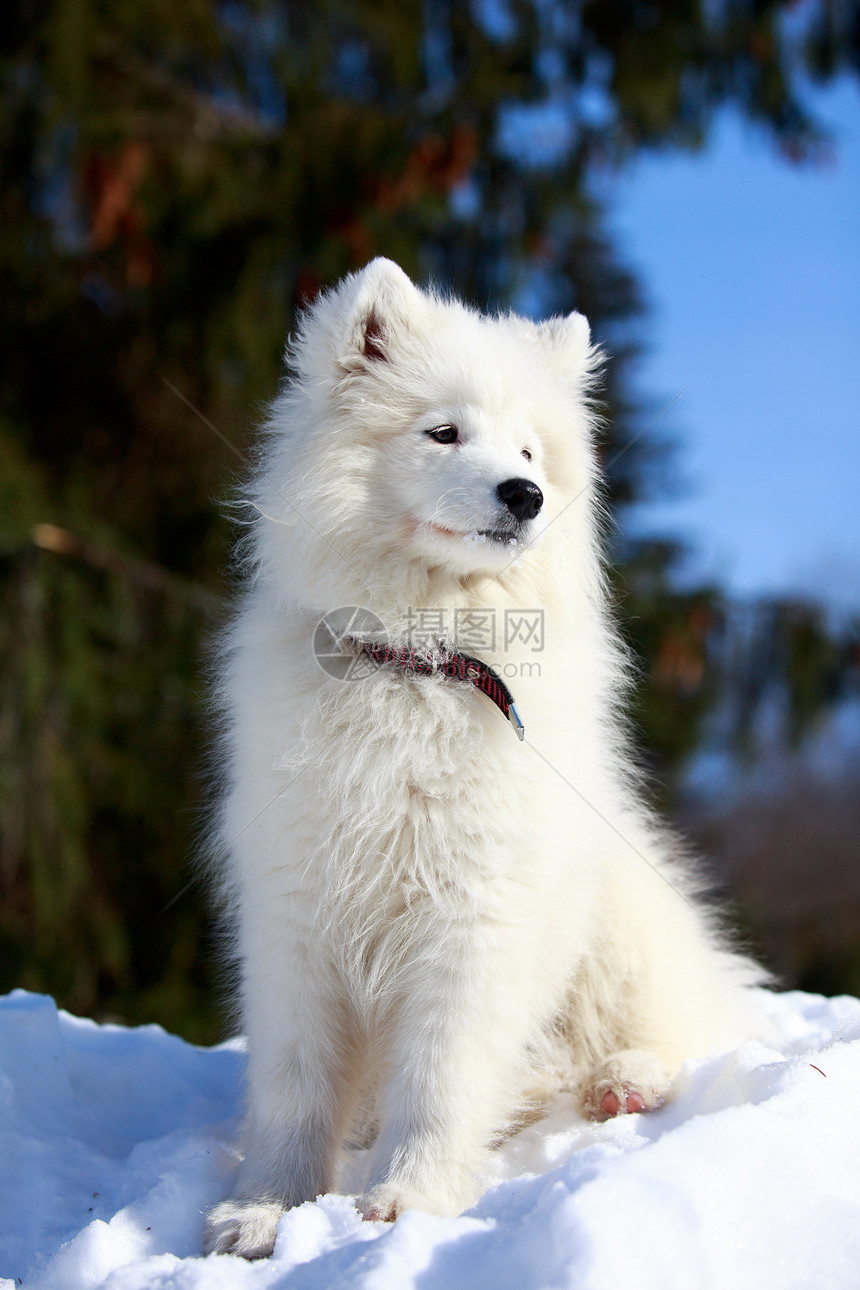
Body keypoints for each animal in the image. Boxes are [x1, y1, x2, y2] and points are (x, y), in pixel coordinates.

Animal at [206, 256, 768, 1253]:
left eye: (532, 454)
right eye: (444, 432)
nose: (523, 495)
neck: (419, 662)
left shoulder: (477, 915)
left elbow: (440, 1078)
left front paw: (406, 1202)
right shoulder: (295, 913)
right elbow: (295, 1088)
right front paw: (264, 1211)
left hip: (614, 921)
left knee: (672, 1026)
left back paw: (626, 1081)